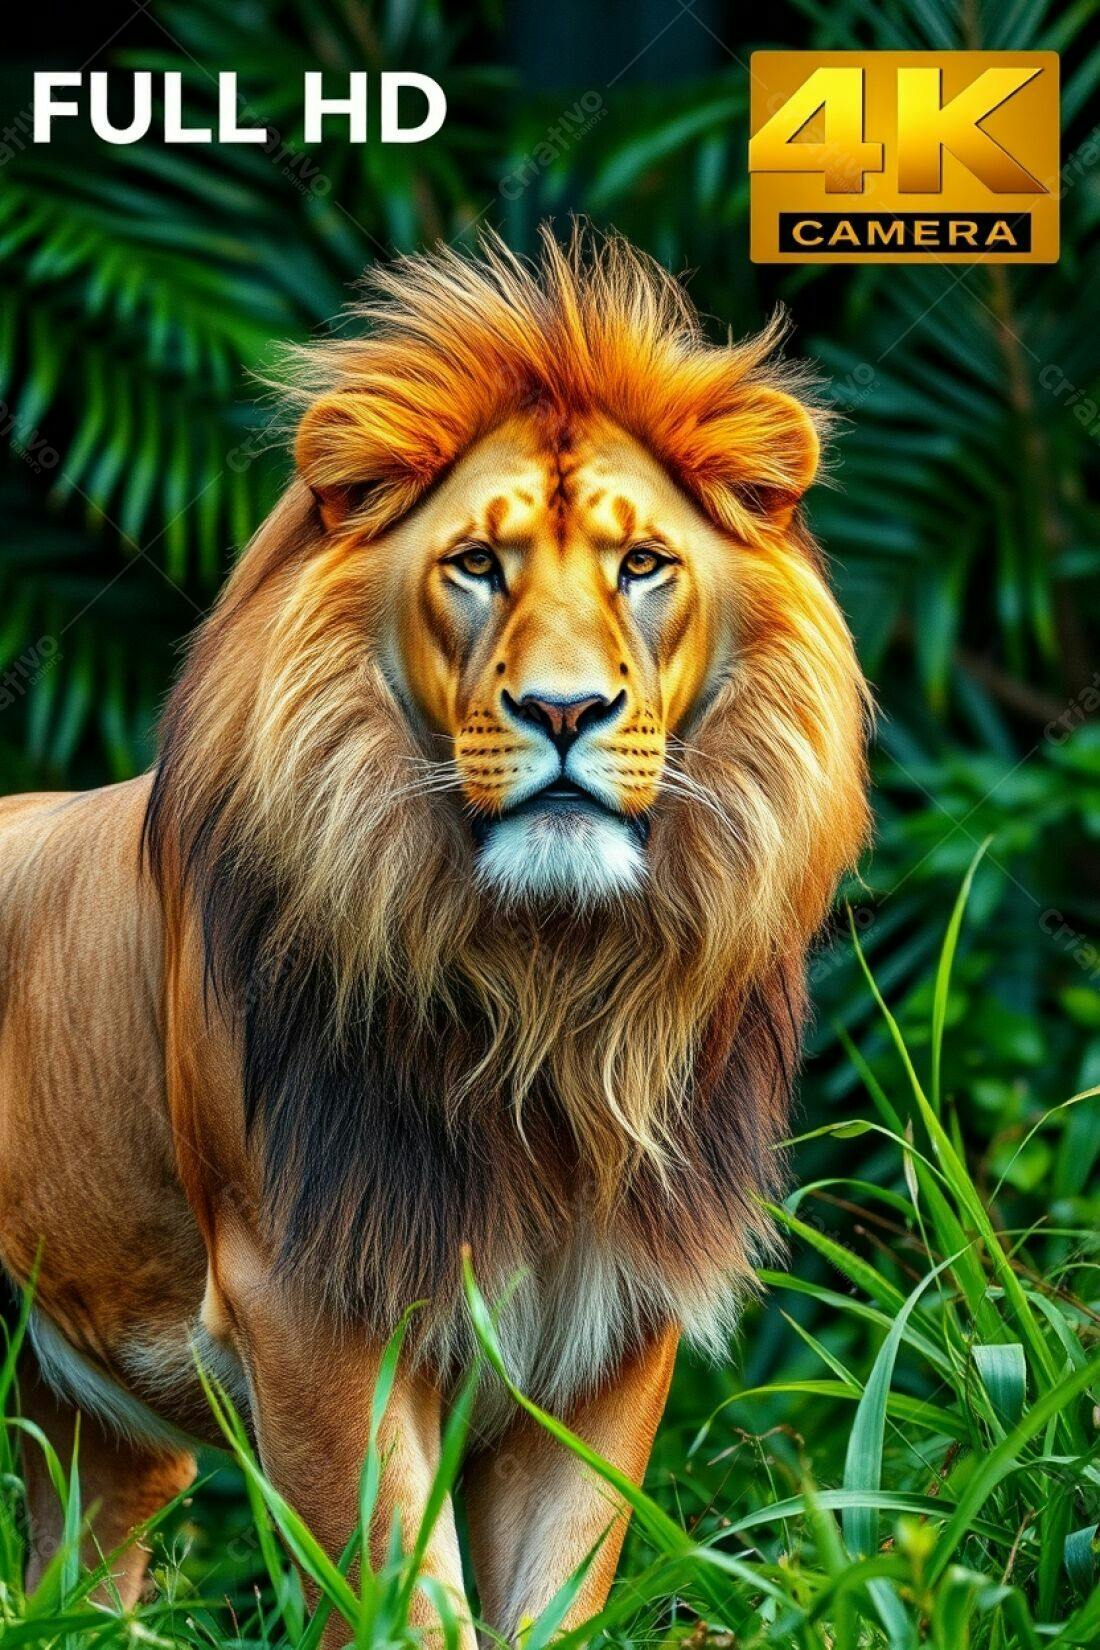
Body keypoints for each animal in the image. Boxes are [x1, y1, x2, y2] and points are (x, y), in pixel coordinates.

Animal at [0, 227, 869, 1642]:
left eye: (642, 566)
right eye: (476, 564)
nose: (563, 710)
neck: (543, 987)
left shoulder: (605, 1324)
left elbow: (555, 1600)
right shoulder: (302, 1304)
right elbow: (405, 1606)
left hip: (95, 1423)